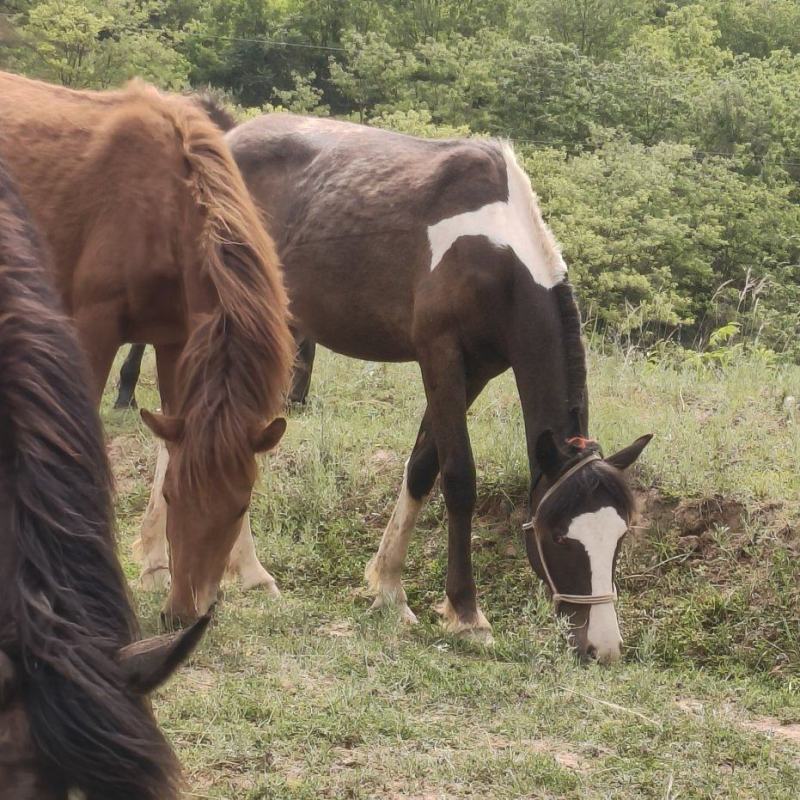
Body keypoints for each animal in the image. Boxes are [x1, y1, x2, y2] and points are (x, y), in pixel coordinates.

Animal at [0, 71, 295, 623]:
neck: (163, 206)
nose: (184, 614)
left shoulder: (177, 340)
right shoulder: (92, 329)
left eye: (242, 505)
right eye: (176, 498)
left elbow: (170, 440)